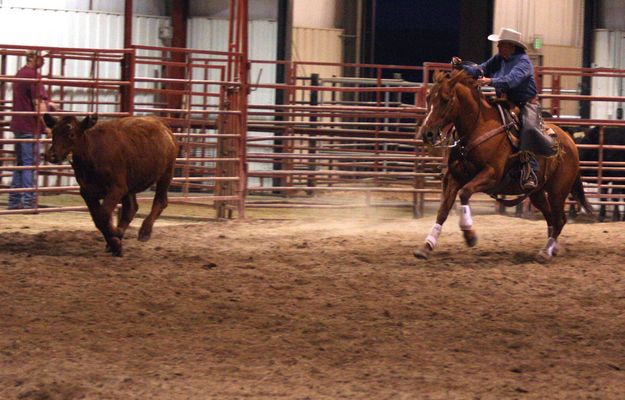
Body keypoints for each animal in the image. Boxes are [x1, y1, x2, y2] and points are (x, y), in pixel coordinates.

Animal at [42, 114, 179, 256]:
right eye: (53, 132)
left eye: (71, 134)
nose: (51, 155)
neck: (92, 155)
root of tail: (164, 128)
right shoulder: (87, 192)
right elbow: (98, 219)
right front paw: (115, 243)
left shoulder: (117, 188)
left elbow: (103, 215)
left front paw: (116, 237)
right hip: (130, 185)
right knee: (131, 208)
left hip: (166, 173)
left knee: (160, 201)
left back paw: (144, 232)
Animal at [414, 69, 588, 262]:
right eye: (428, 98)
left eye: (445, 100)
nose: (427, 133)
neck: (478, 127)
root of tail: (571, 142)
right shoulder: (454, 177)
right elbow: (443, 210)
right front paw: (426, 246)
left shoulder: (492, 175)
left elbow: (465, 193)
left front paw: (469, 235)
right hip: (537, 192)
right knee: (551, 218)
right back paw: (552, 248)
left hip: (558, 191)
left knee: (559, 219)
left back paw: (545, 252)